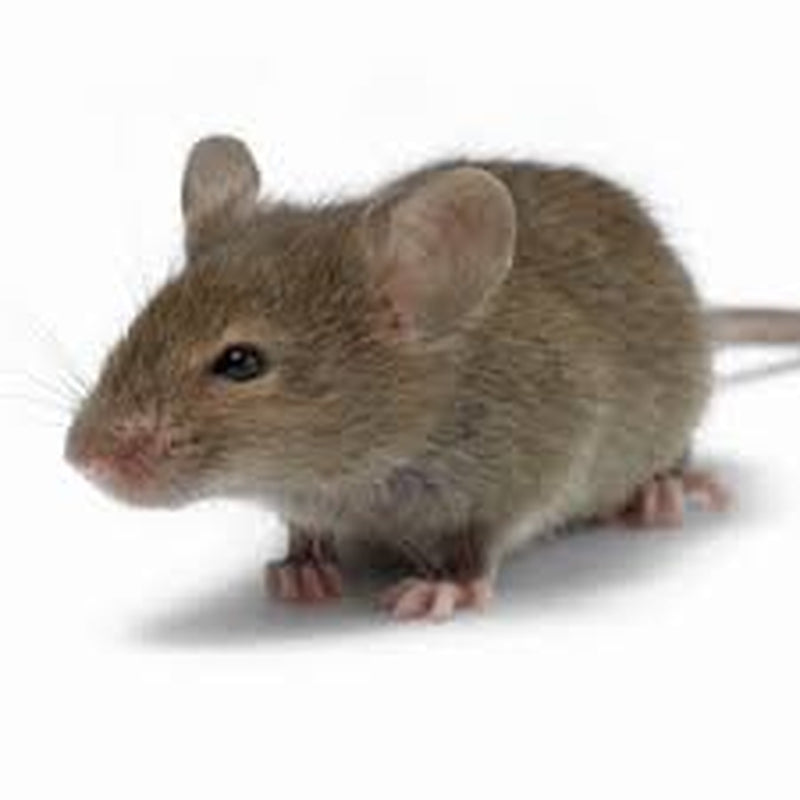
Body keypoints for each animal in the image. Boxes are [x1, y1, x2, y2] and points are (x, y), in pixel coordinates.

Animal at [64, 136, 800, 621]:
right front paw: (302, 567)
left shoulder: (532, 464)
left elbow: (482, 542)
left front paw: (445, 586)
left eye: (240, 362)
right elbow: (303, 530)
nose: (82, 459)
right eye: (139, 321)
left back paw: (662, 490)